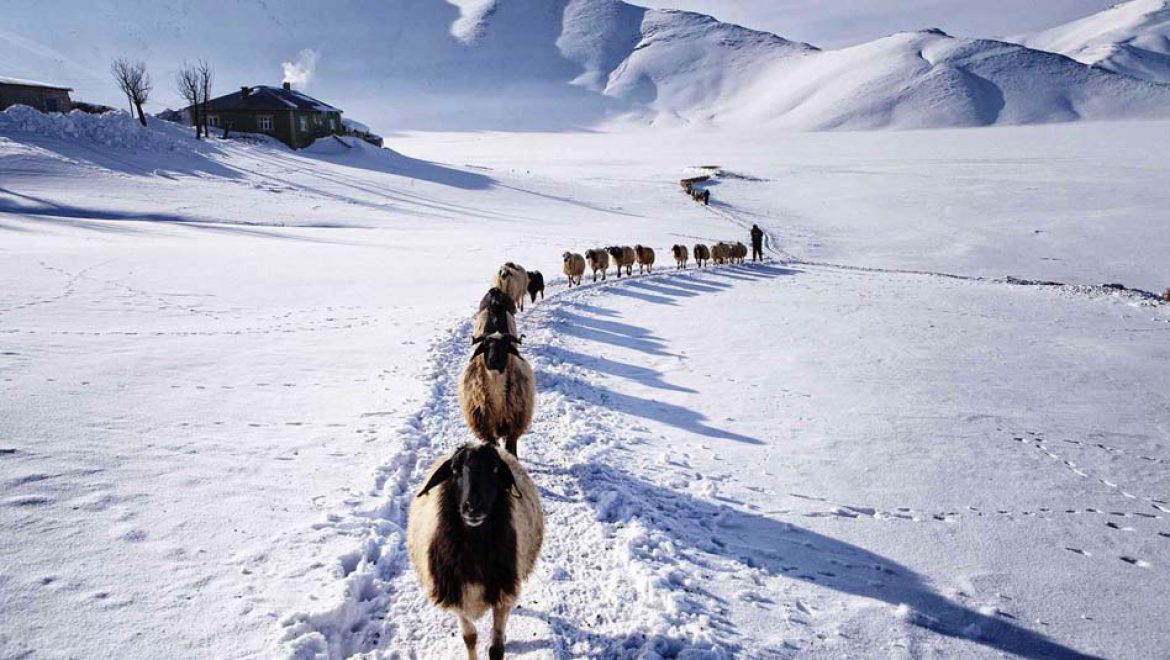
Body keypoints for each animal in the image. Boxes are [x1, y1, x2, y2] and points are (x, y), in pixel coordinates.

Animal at [407, 442, 542, 660]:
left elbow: (496, 649)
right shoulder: (457, 596)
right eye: (454, 470)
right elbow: (469, 638)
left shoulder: (503, 593)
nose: (472, 507)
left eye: (495, 470)